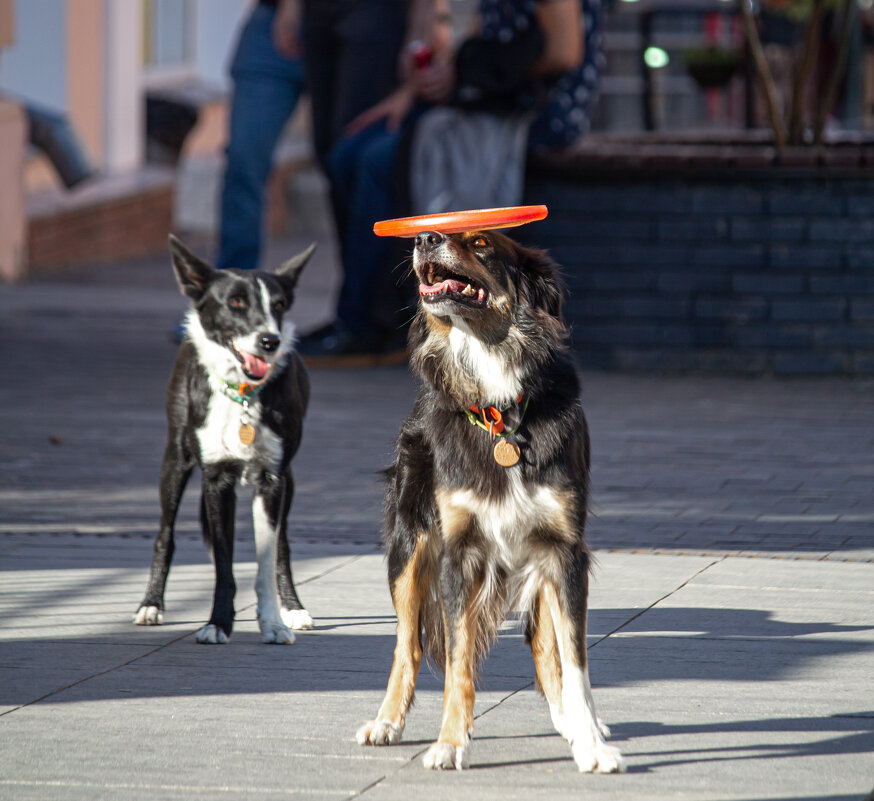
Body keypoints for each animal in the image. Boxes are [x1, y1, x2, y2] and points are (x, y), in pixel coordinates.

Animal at [133, 236, 314, 644]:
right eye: (236, 302)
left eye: (279, 305)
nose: (270, 340)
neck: (243, 393)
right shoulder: (216, 479)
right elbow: (223, 564)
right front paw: (217, 622)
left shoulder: (272, 479)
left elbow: (265, 561)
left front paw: (273, 622)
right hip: (176, 460)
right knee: (165, 534)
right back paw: (151, 604)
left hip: (290, 479)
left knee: (282, 546)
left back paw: (293, 606)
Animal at [354, 228, 620, 772]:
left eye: (480, 242)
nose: (424, 236)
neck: (497, 397)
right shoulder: (460, 553)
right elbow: (458, 659)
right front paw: (451, 743)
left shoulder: (565, 552)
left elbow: (574, 658)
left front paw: (591, 743)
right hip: (409, 546)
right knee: (407, 645)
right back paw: (387, 721)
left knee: (545, 643)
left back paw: (572, 724)